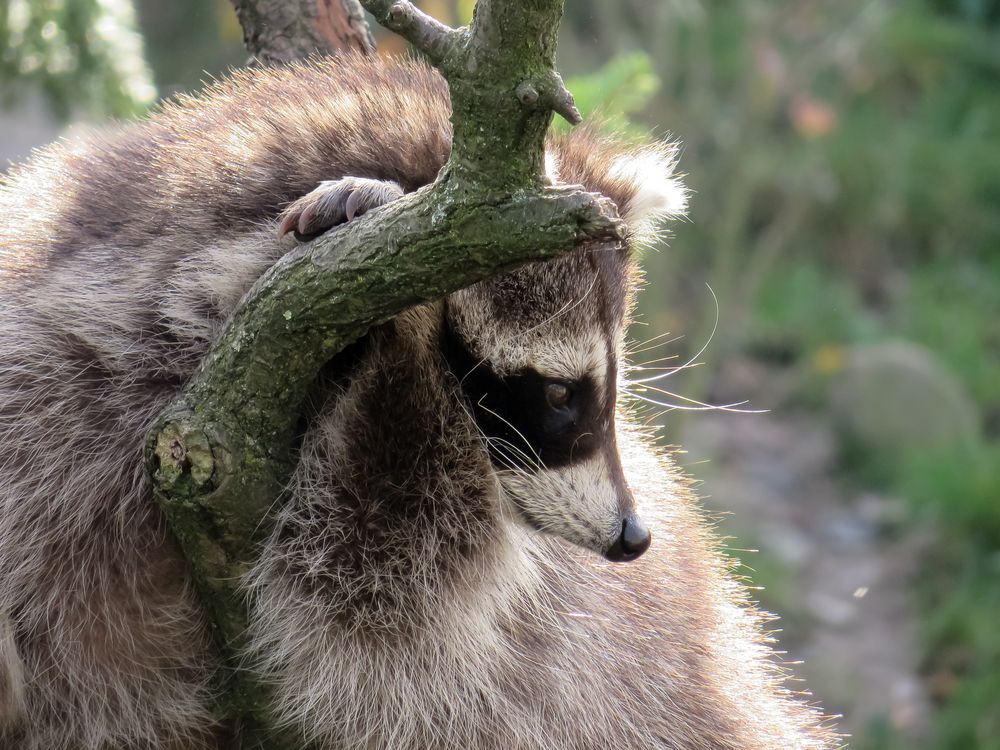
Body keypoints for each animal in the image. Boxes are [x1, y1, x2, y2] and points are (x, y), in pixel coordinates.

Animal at [0, 54, 836, 750]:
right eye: (559, 393)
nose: (634, 537)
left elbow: (372, 594)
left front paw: (401, 334)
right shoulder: (59, 416)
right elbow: (373, 584)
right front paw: (403, 320)